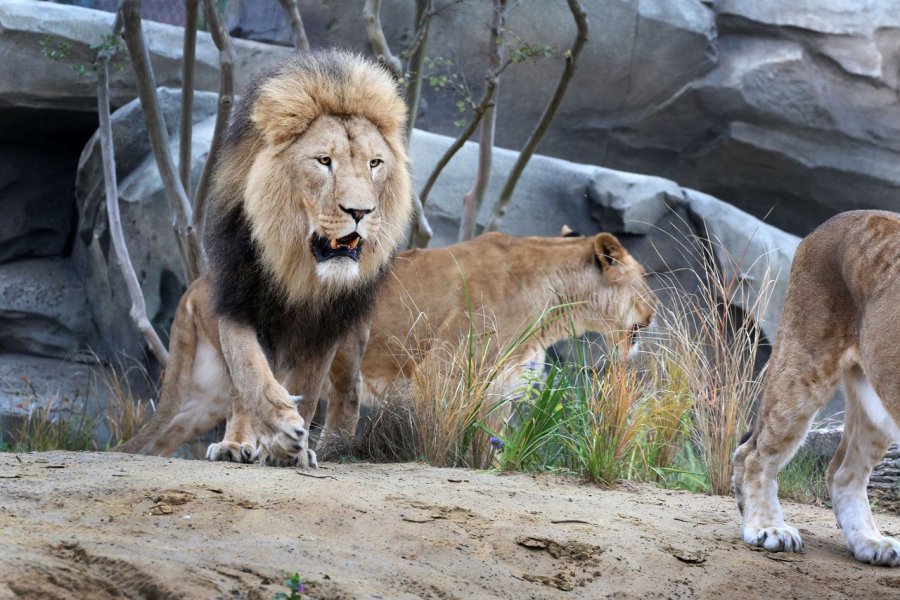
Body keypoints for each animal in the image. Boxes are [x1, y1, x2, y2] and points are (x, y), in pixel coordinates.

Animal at [118, 50, 414, 464]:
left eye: (375, 163)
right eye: (324, 161)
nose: (360, 212)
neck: (299, 269)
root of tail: (190, 291)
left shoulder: (325, 328)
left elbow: (308, 387)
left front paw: (294, 451)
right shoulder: (237, 302)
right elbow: (249, 373)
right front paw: (274, 431)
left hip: (350, 339)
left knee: (347, 394)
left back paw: (331, 445)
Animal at [736, 209, 900, 564]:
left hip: (877, 400)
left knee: (843, 472)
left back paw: (870, 542)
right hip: (801, 369)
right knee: (753, 453)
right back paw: (768, 529)